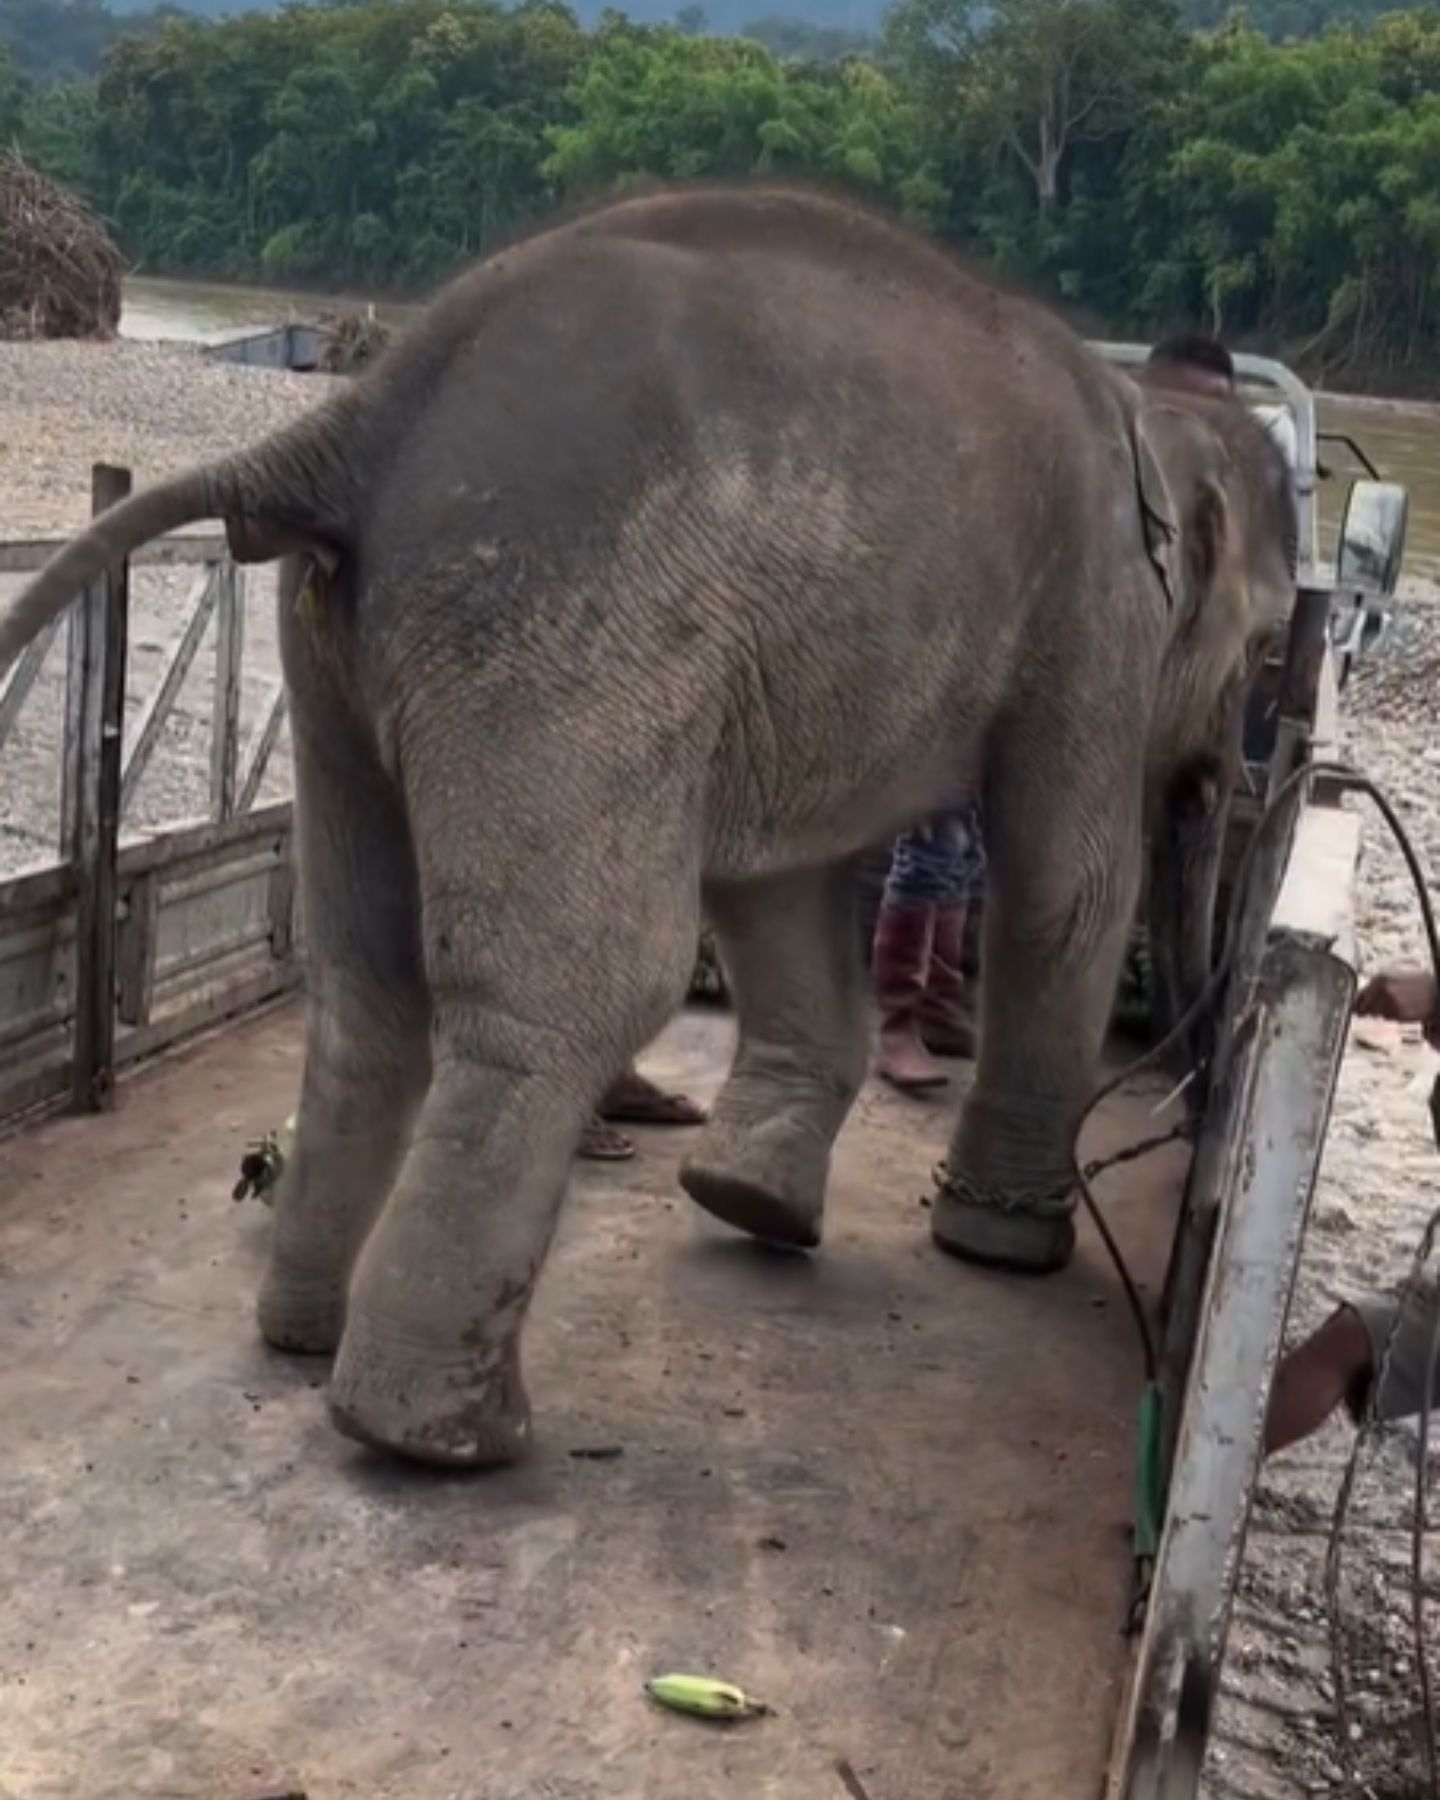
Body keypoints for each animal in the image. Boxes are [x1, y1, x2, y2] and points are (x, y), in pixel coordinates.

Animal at [0, 189, 1296, 1468]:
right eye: (1274, 643)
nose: (1184, 1090)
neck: (1158, 415)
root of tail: (364, 414)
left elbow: (790, 890)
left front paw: (754, 1206)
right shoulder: (1097, 614)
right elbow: (1066, 885)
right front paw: (999, 1248)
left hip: (334, 655)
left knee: (367, 989)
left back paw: (302, 1340)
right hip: (562, 632)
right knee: (586, 985)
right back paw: (445, 1436)